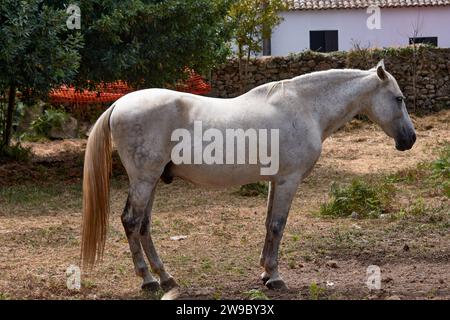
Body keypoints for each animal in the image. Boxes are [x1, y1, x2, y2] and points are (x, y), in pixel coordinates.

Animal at [81, 60, 414, 292]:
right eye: (398, 98)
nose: (409, 139)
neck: (305, 108)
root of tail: (120, 103)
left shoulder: (275, 182)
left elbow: (269, 225)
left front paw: (265, 272)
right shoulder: (288, 181)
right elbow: (278, 226)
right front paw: (276, 277)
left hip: (150, 182)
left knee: (143, 226)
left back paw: (165, 277)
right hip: (143, 180)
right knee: (131, 222)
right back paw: (148, 280)